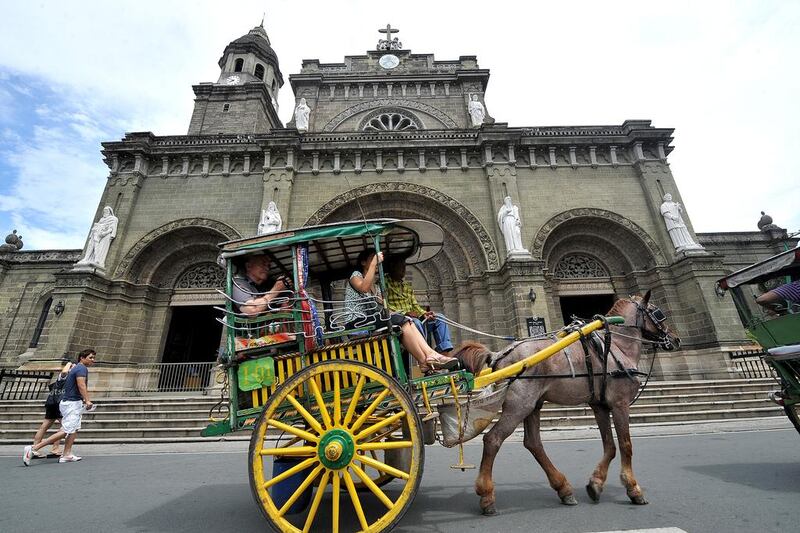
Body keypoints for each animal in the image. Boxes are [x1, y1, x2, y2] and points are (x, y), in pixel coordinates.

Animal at [454, 294, 680, 512]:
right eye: (658, 314)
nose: (676, 339)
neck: (616, 345)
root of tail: (498, 355)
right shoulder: (620, 403)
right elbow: (626, 445)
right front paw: (633, 489)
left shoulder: (599, 405)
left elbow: (610, 445)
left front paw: (596, 484)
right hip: (519, 405)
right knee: (493, 439)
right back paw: (487, 496)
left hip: (533, 404)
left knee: (533, 443)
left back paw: (563, 489)